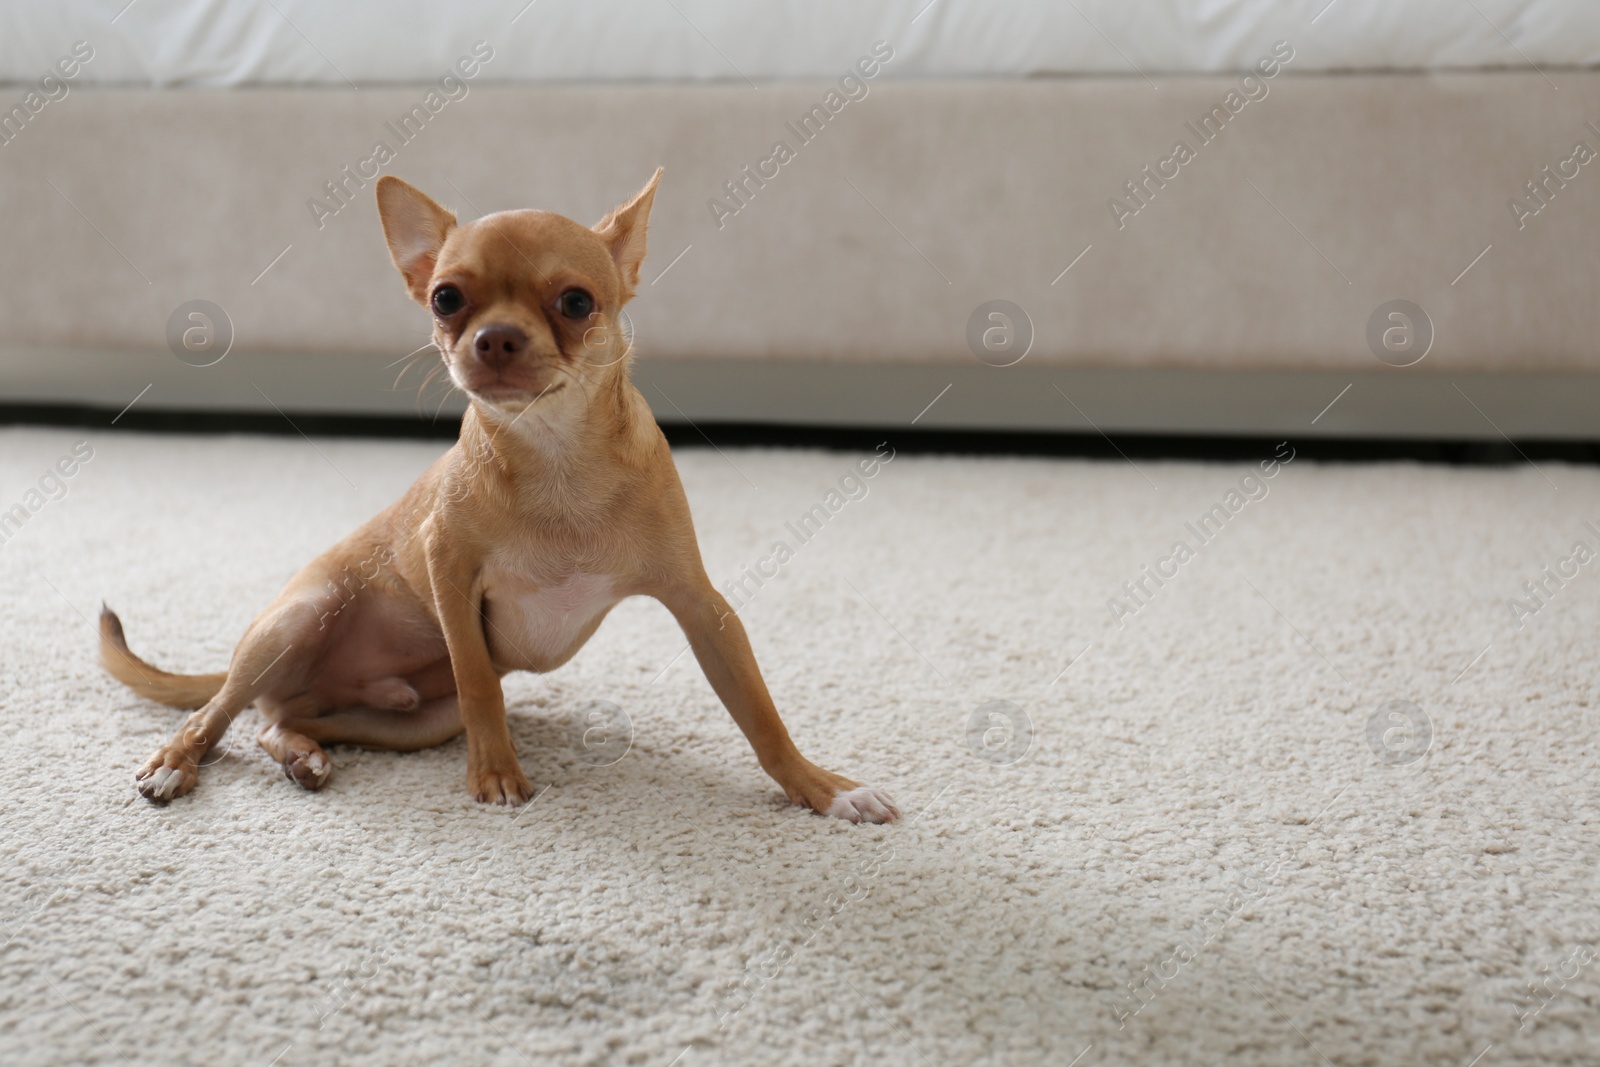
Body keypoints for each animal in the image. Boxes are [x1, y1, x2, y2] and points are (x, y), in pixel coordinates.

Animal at [100, 173, 902, 825]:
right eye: (446, 298)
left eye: (577, 302)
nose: (494, 337)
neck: (557, 459)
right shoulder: (451, 575)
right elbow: (481, 682)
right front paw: (495, 774)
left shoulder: (703, 607)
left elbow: (760, 714)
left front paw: (822, 787)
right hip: (296, 622)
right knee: (218, 711)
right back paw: (176, 761)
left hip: (415, 719)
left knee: (278, 721)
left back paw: (302, 754)